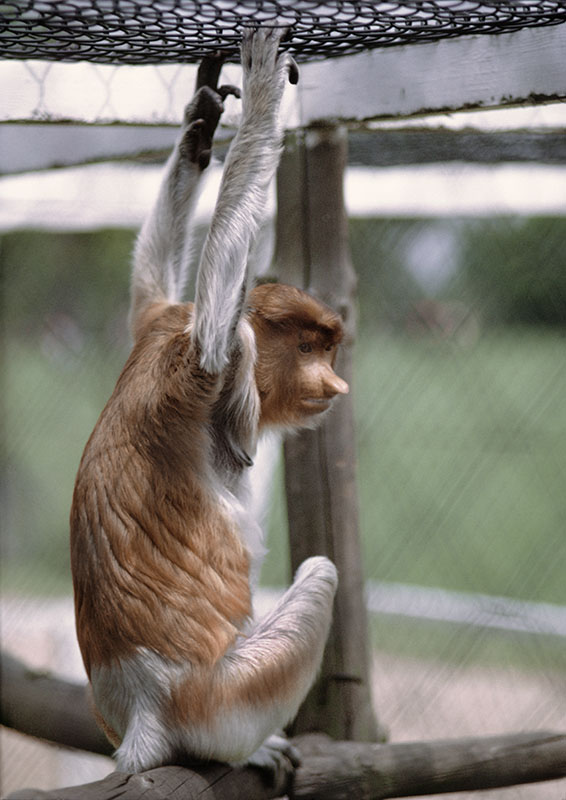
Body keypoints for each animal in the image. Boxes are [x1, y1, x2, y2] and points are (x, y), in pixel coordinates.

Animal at [70, 27, 349, 779]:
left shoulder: (157, 324)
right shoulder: (192, 367)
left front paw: (201, 126)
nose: (336, 387)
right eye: (310, 347)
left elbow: (149, 284)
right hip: (228, 697)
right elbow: (224, 334)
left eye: (330, 350)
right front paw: (262, 90)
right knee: (321, 574)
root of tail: (143, 709)